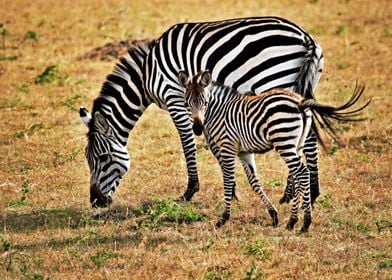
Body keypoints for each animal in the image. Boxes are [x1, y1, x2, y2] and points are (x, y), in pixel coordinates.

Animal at [80, 15, 324, 208]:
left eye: (103, 158)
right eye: (87, 159)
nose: (95, 202)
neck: (146, 74)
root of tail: (305, 37)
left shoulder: (175, 98)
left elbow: (188, 144)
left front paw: (190, 191)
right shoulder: (199, 105)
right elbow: (214, 145)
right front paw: (232, 190)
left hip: (275, 81)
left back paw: (300, 194)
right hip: (301, 87)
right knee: (306, 135)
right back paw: (303, 194)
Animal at [179, 70, 370, 232]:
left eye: (205, 103)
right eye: (187, 104)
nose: (197, 128)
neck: (220, 112)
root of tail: (300, 102)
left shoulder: (228, 147)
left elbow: (228, 180)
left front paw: (224, 218)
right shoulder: (244, 152)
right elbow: (254, 182)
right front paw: (273, 214)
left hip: (284, 141)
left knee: (301, 172)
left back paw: (302, 223)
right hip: (296, 144)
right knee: (299, 174)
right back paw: (295, 222)